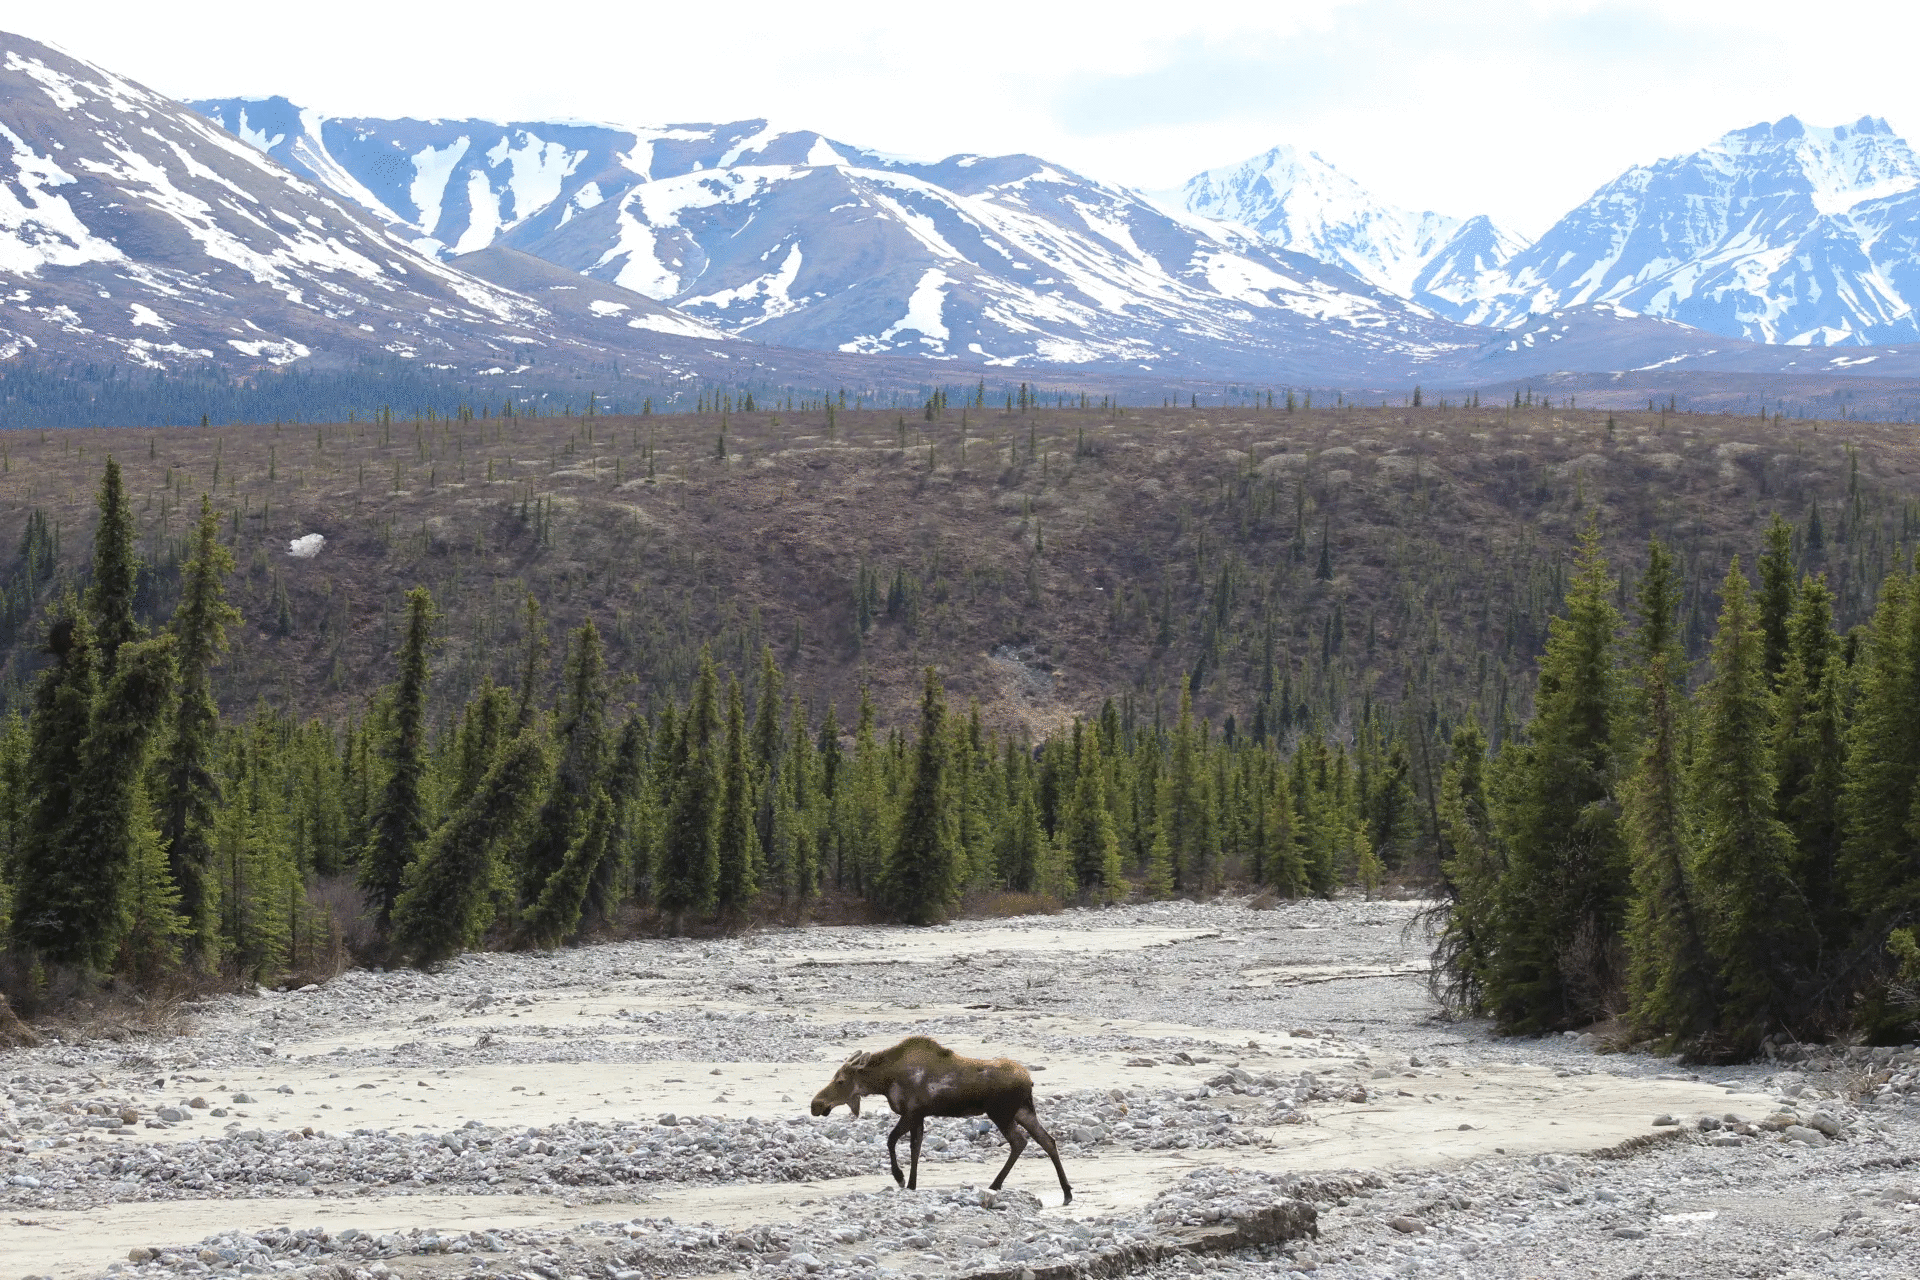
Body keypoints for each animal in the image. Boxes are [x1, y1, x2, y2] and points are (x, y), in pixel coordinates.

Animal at [810, 1035, 1072, 1205]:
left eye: (840, 1080)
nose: (815, 1105)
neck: (884, 1082)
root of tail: (1030, 1081)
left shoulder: (911, 1112)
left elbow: (891, 1140)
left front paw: (900, 1177)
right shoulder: (918, 1115)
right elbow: (915, 1149)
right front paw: (912, 1183)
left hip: (1001, 1113)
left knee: (1020, 1142)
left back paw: (995, 1184)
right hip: (1023, 1112)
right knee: (1047, 1141)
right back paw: (1067, 1192)